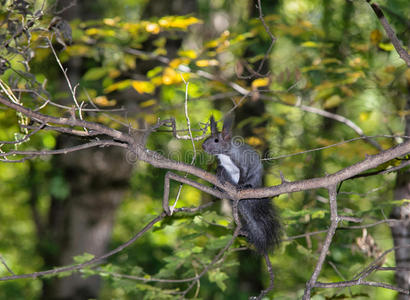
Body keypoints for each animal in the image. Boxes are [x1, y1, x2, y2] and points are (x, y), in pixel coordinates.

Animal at [203, 114, 282, 253]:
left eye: (216, 140)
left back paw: (246, 186)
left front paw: (240, 185)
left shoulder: (242, 160)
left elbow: (244, 172)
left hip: (255, 177)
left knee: (250, 180)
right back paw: (219, 186)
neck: (225, 154)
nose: (203, 146)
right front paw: (218, 175)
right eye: (208, 136)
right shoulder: (222, 164)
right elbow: (220, 168)